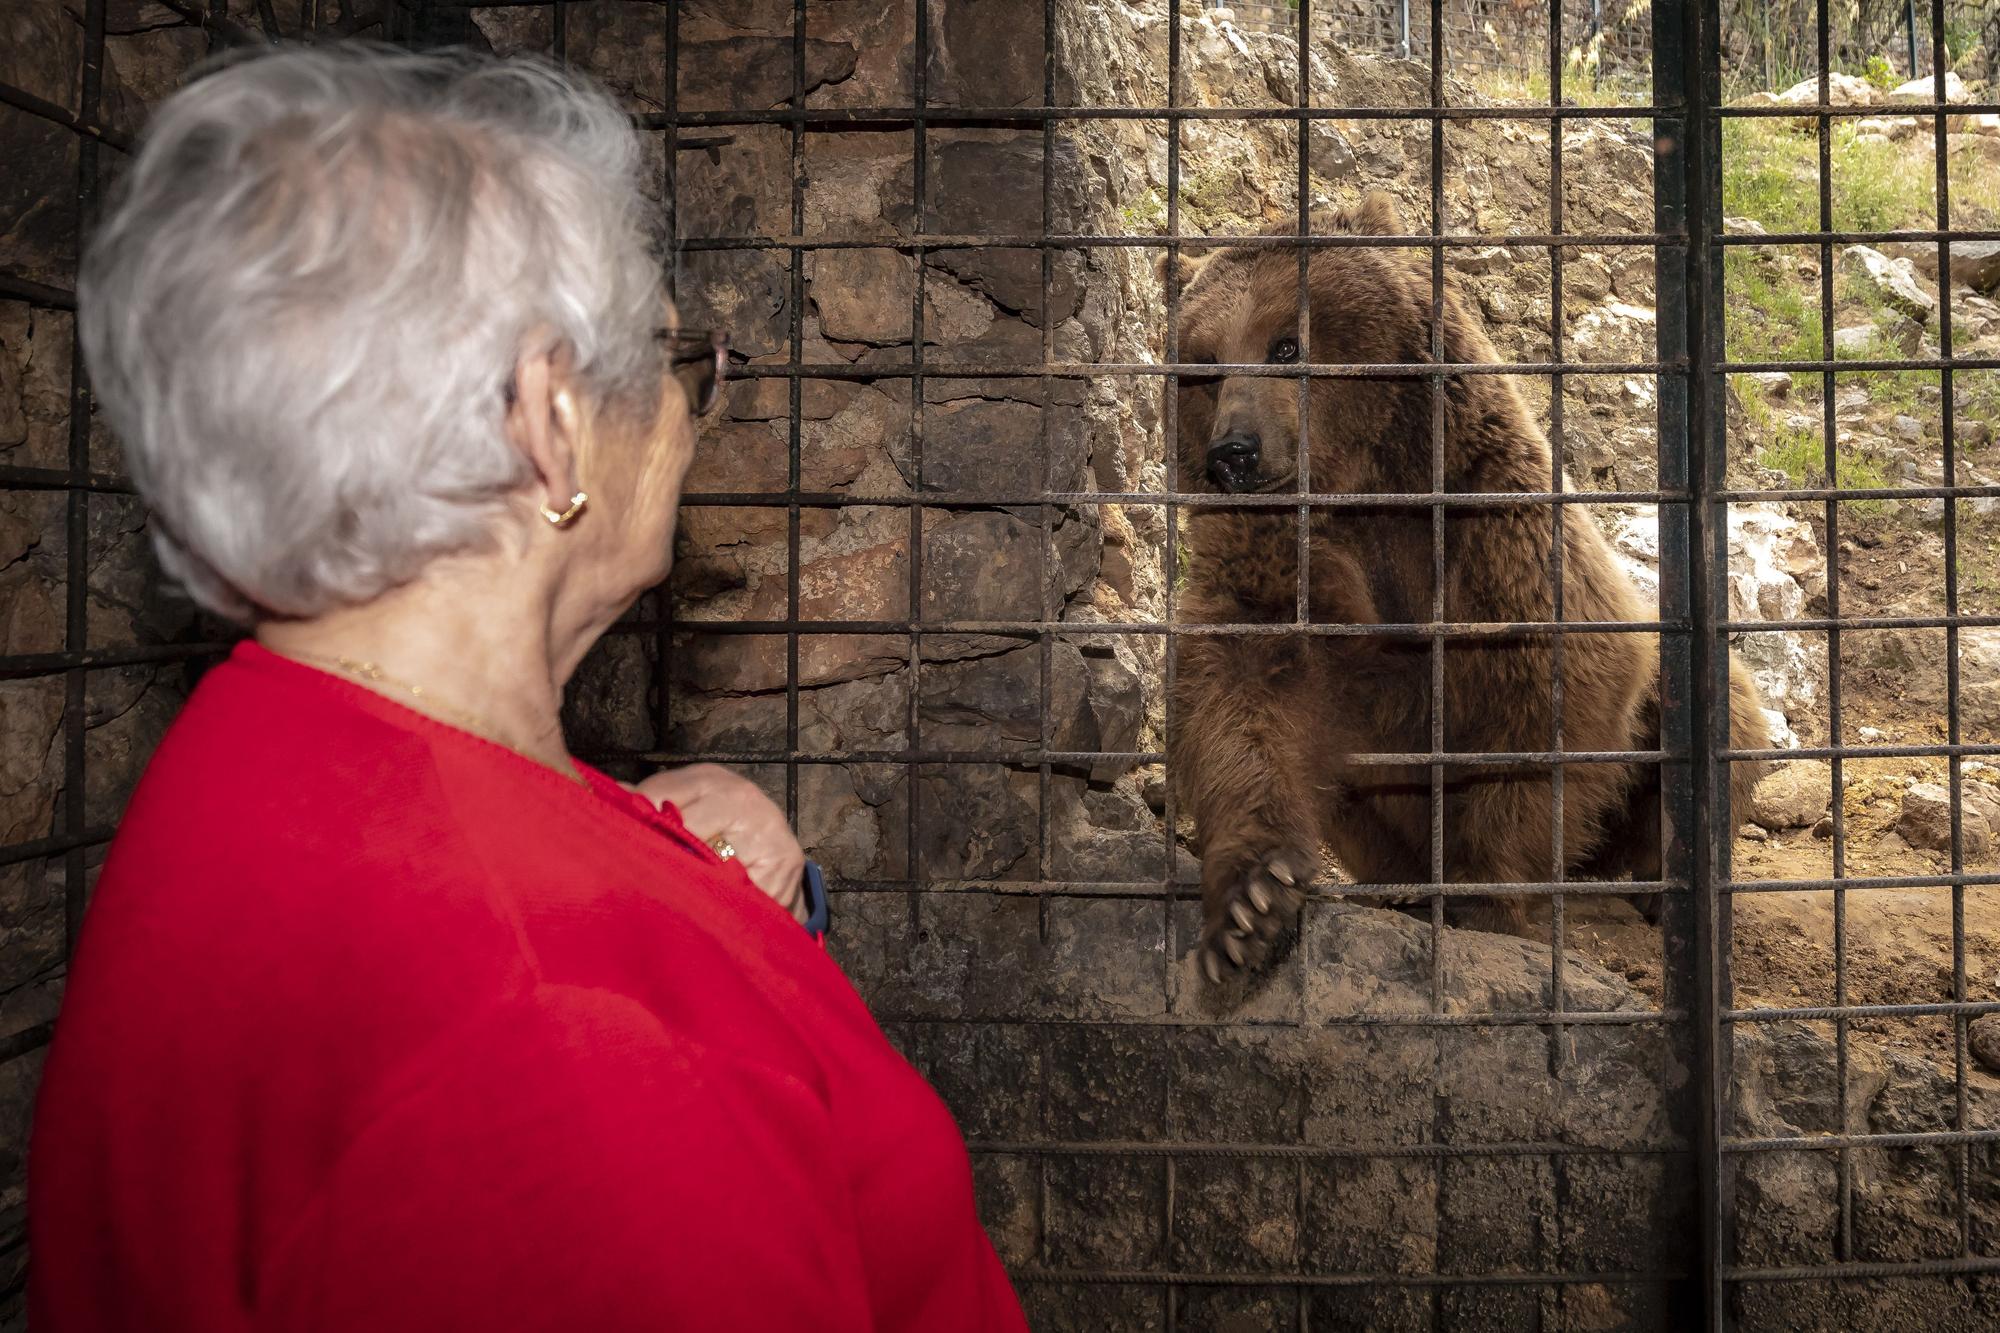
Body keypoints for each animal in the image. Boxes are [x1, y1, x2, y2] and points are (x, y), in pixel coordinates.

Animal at [1168, 189, 1768, 976]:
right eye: (1206, 364)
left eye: (1285, 345)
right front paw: (1250, 905)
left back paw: (1651, 885)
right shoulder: (1273, 567)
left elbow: (1543, 703)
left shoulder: (1492, 531)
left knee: (1716, 712)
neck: (1361, 488)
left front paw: (1485, 893)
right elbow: (1240, 704)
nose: (1233, 453)